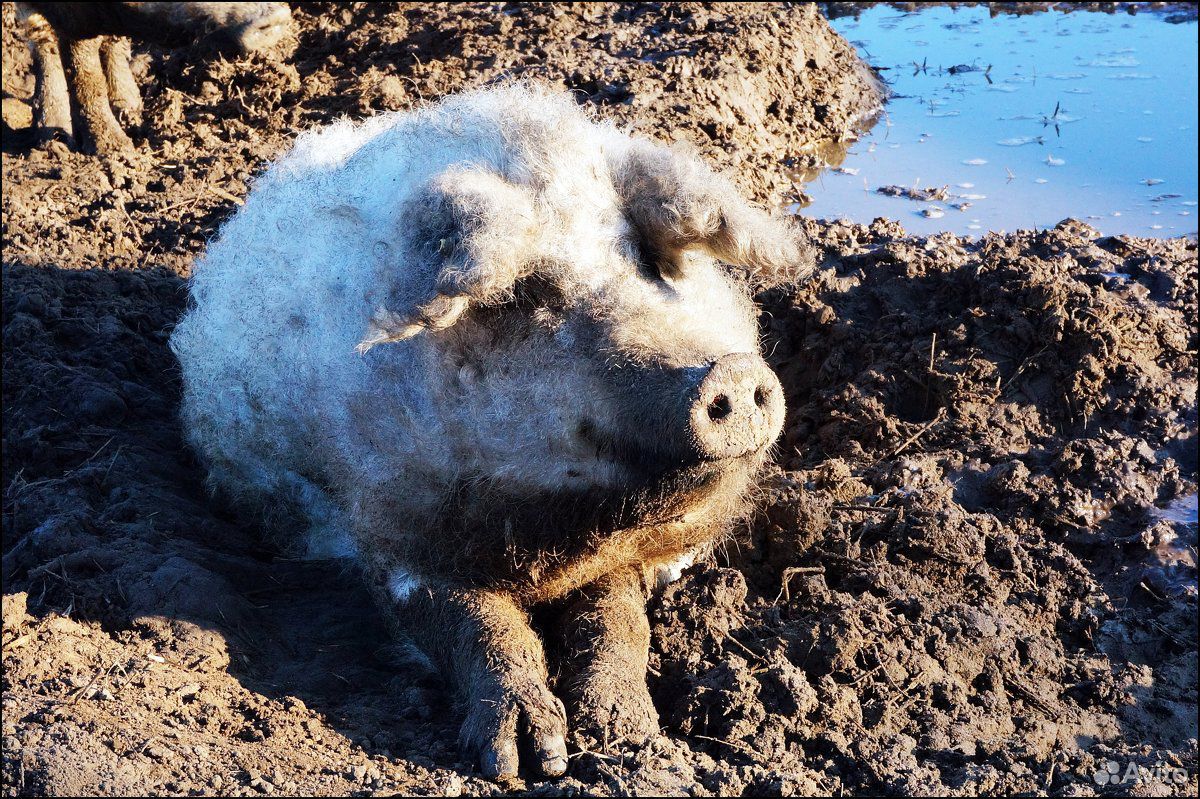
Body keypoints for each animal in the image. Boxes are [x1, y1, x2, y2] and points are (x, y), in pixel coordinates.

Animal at [18, 2, 292, 153]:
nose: (275, 19)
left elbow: (110, 41)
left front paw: (131, 111)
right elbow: (83, 70)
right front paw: (116, 152)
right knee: (39, 35)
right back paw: (53, 140)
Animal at [169, 82, 811, 777]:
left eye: (646, 263)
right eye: (535, 295)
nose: (730, 372)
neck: (557, 532)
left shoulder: (623, 554)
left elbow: (616, 617)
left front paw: (626, 734)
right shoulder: (392, 536)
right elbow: (477, 625)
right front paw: (528, 761)